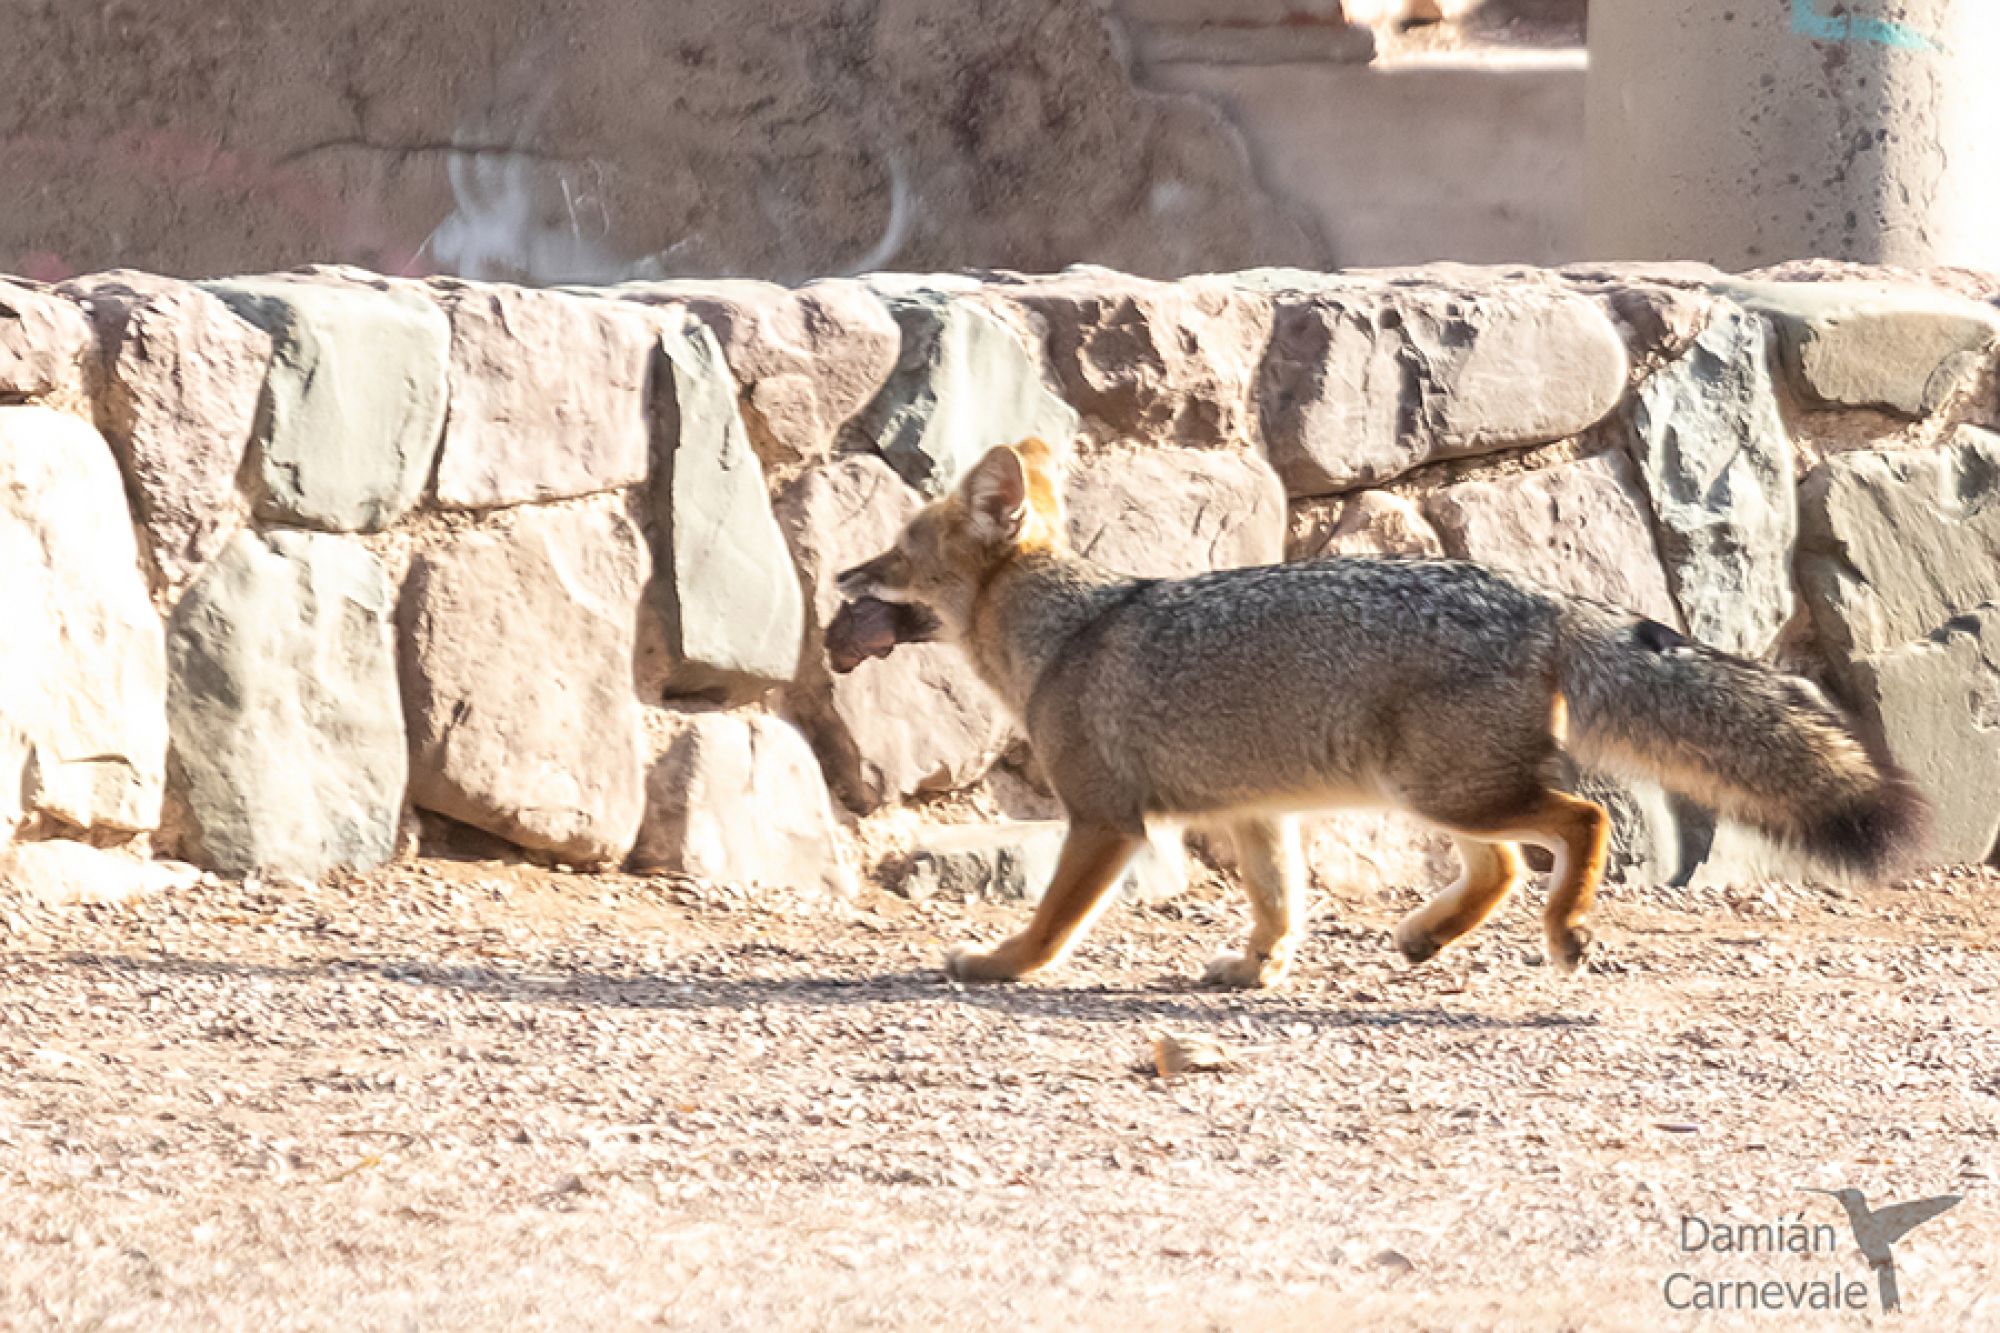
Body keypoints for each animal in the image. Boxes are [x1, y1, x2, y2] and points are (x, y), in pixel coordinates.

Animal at [832, 438, 1928, 989]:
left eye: (896, 552)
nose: (838, 576)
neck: (1064, 629)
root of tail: (1538, 597)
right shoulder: (1257, 814)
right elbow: (1279, 903)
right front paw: (1253, 967)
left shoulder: (1104, 819)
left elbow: (1055, 915)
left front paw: (999, 962)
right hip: (1439, 795)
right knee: (1500, 865)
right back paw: (1427, 937)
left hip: (1443, 791)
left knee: (1582, 821)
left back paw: (1564, 927)